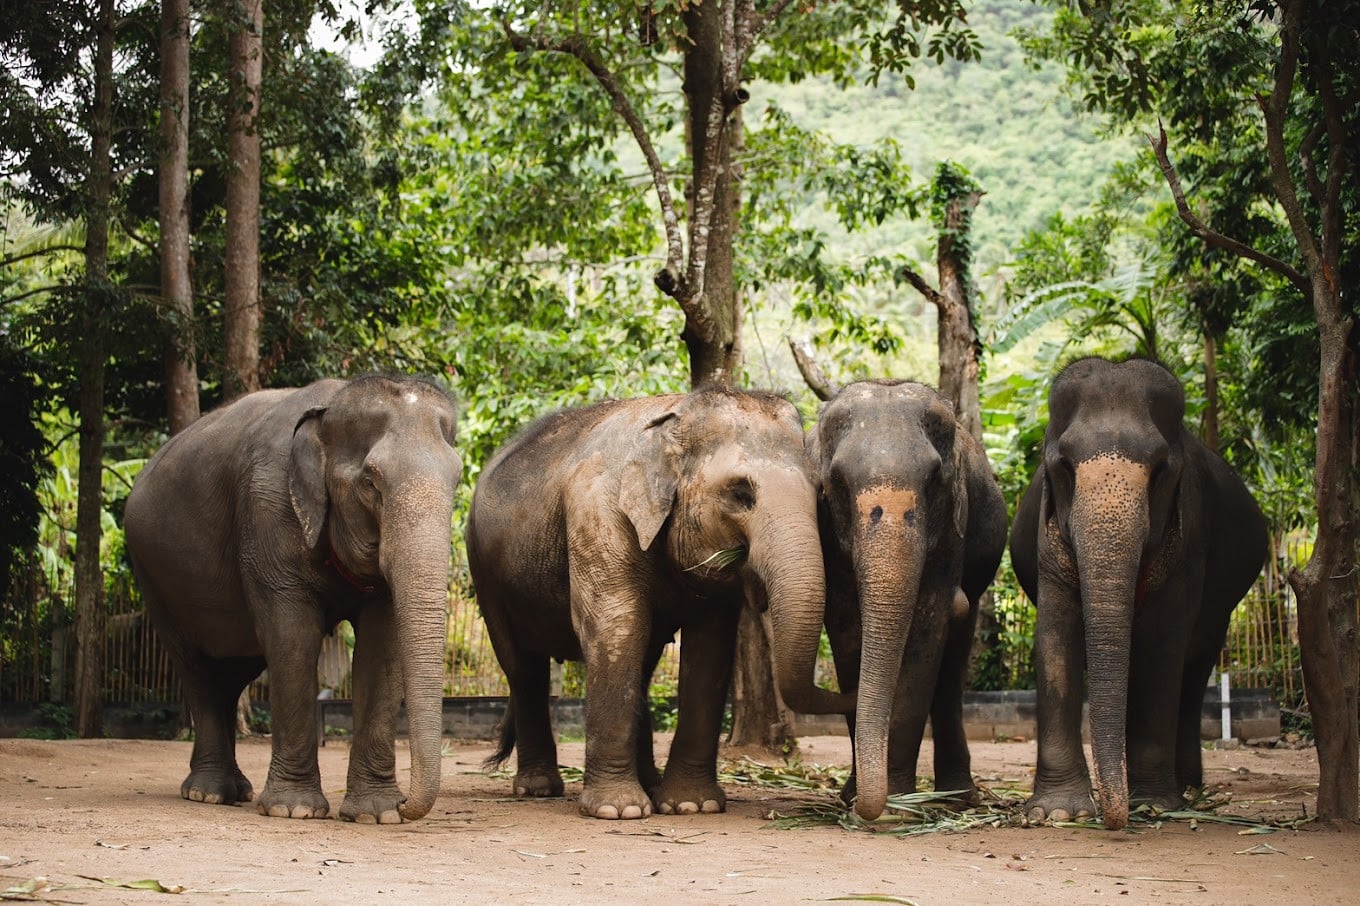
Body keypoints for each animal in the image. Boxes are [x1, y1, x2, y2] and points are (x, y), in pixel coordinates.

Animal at [124, 372, 462, 816]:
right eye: (370, 482)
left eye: (457, 481)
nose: (408, 802)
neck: (331, 407)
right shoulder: (268, 514)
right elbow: (293, 638)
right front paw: (294, 809)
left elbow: (381, 647)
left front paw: (378, 813)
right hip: (152, 574)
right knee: (197, 669)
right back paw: (209, 793)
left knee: (232, 673)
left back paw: (235, 791)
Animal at [467, 386, 848, 816]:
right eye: (741, 493)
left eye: (820, 495)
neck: (673, 415)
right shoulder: (598, 513)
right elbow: (618, 624)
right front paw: (619, 811)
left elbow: (708, 646)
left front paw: (693, 806)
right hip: (485, 572)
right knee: (523, 668)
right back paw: (538, 789)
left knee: (642, 666)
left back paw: (648, 782)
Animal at [805, 378, 1011, 816]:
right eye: (837, 481)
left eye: (935, 478)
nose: (862, 803)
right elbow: (848, 632)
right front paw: (856, 796)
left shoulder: (952, 531)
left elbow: (925, 632)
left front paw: (898, 803)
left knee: (952, 668)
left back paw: (958, 798)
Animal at [1011, 353, 1262, 827]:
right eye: (1064, 467)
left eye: (1161, 470)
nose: (1115, 818)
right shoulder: (1045, 543)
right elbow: (1055, 639)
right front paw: (1058, 813)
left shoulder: (1190, 540)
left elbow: (1163, 645)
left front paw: (1154, 805)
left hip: (1221, 609)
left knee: (1193, 670)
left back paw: (1187, 787)